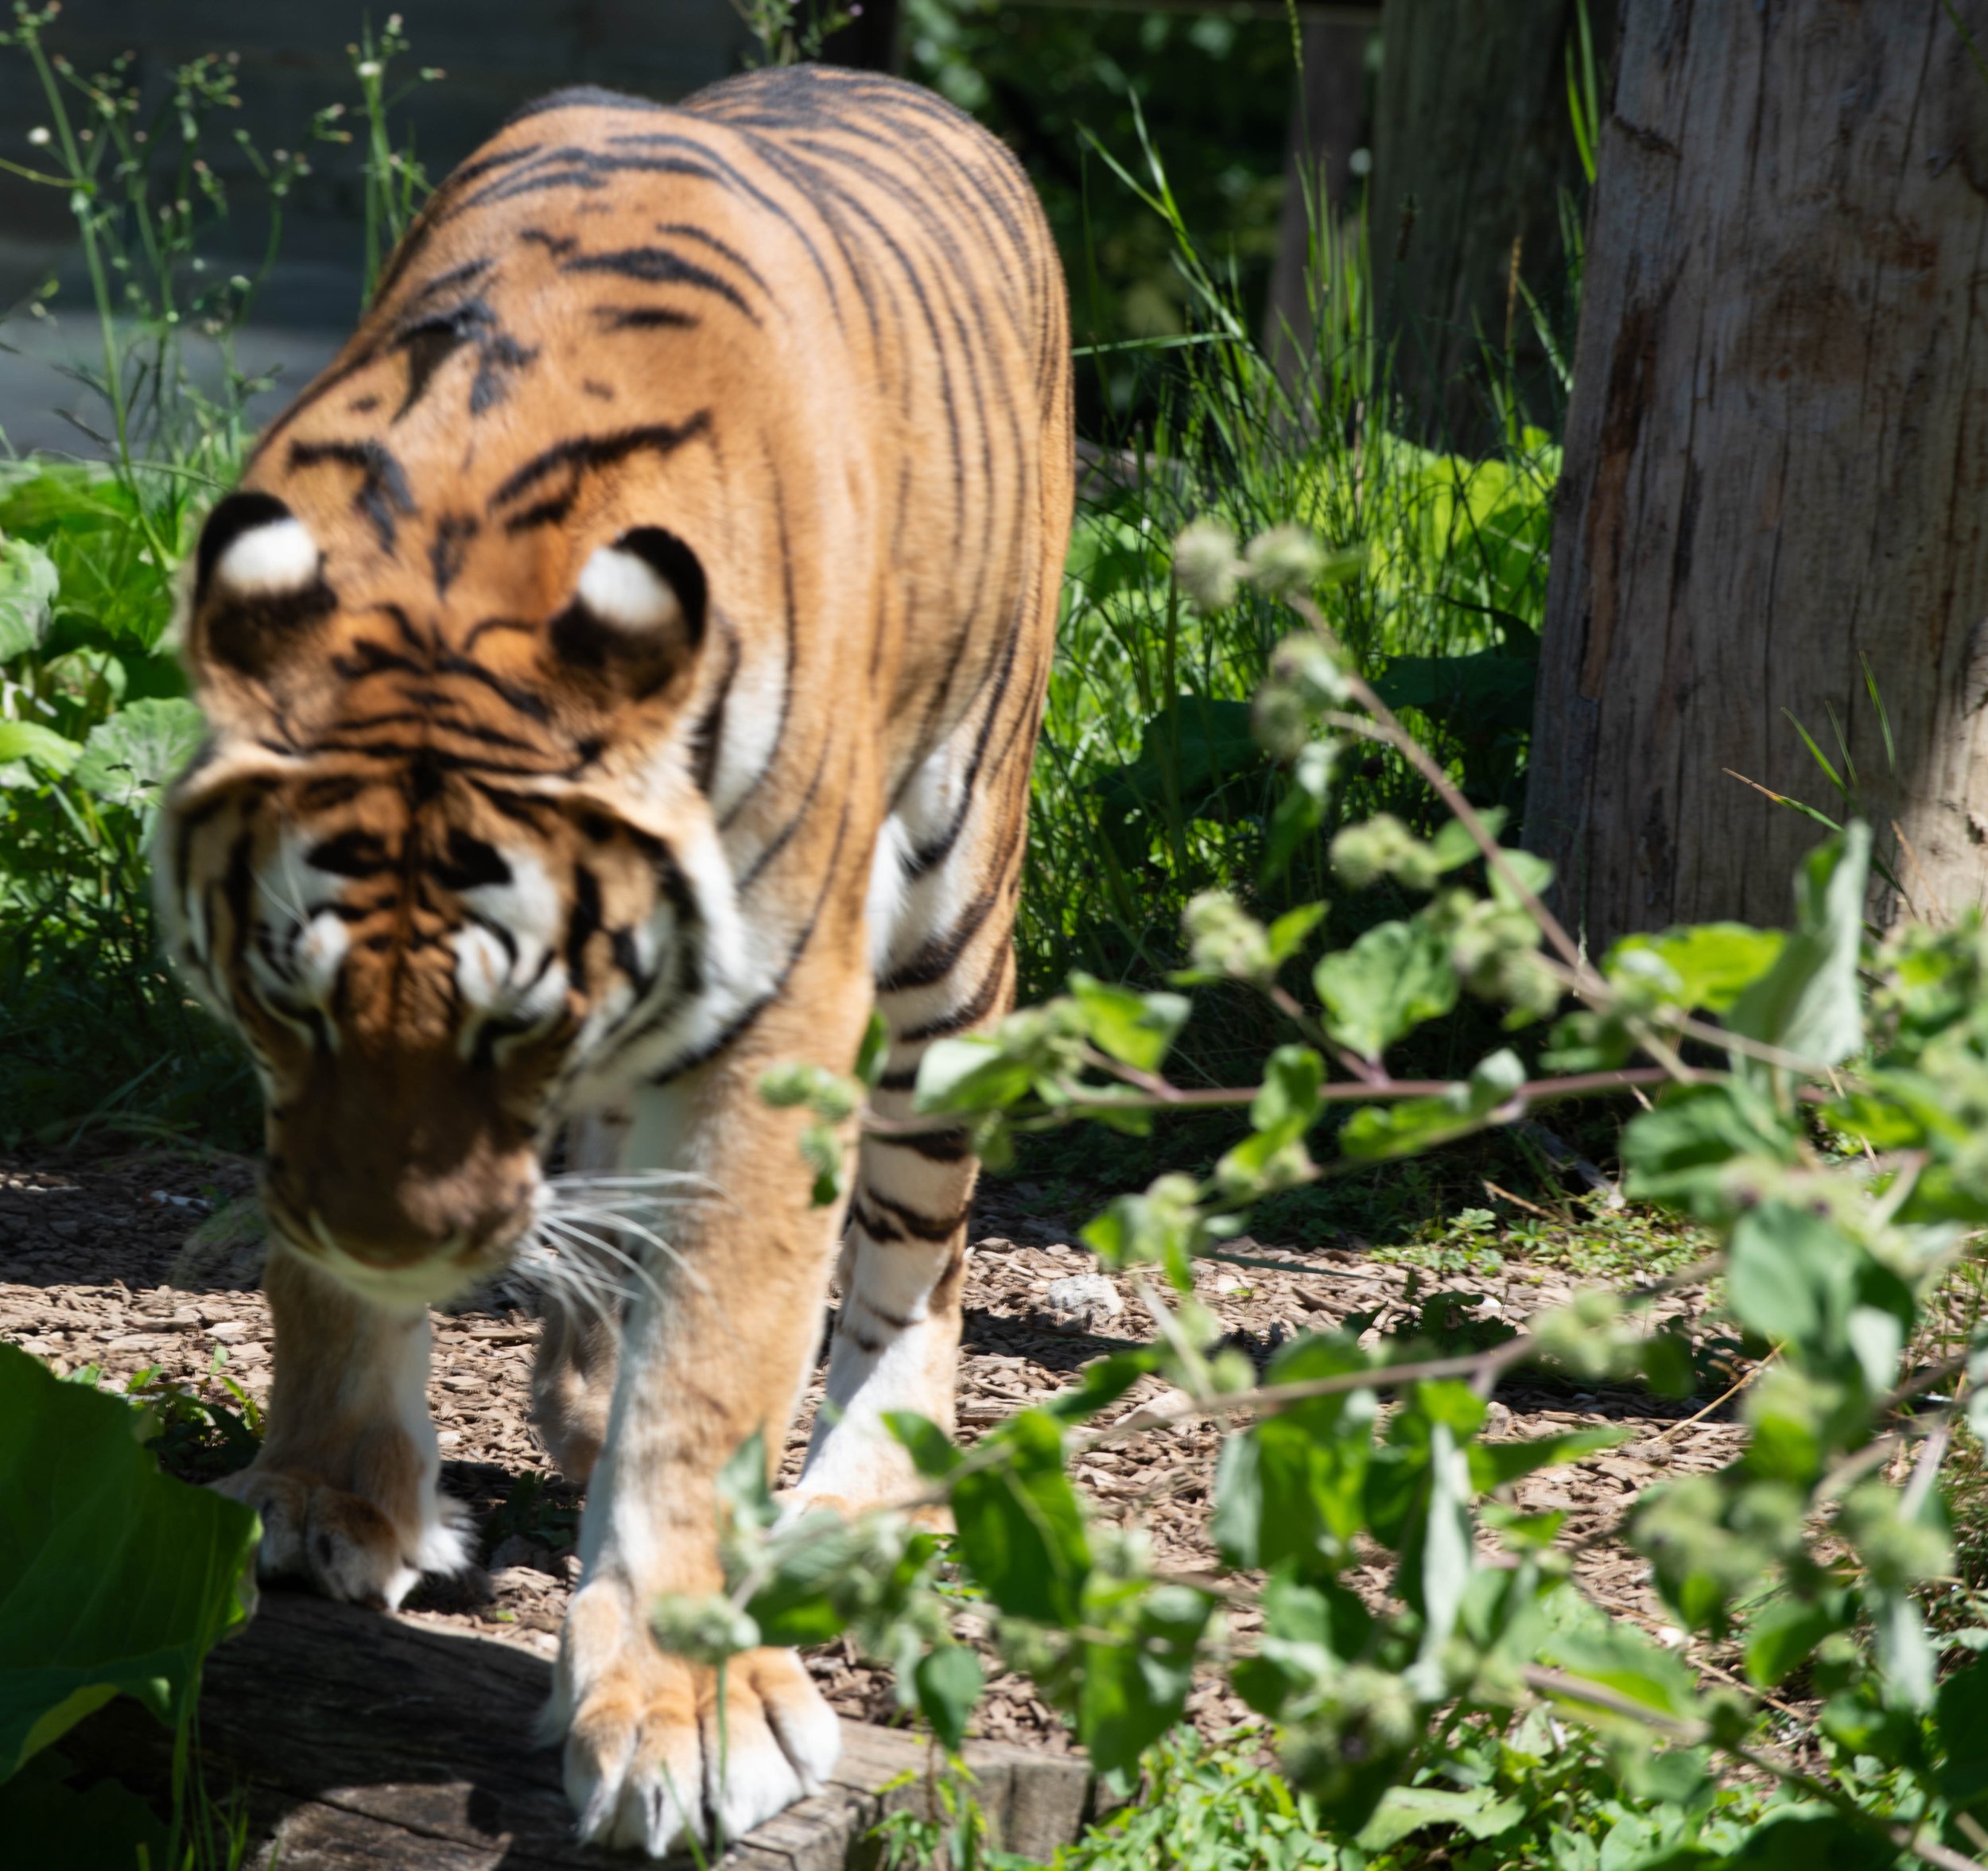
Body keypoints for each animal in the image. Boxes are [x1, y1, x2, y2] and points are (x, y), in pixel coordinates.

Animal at [155, 64, 1071, 1856]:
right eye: (294, 1000)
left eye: (516, 1022)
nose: (402, 1242)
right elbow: (312, 1275)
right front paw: (328, 1499)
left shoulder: (778, 1023)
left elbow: (710, 1363)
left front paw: (685, 1708)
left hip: (949, 923)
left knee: (919, 1277)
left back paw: (841, 1510)